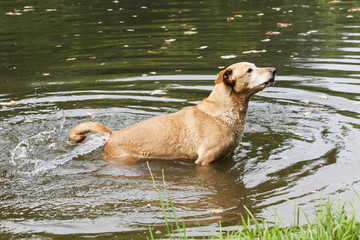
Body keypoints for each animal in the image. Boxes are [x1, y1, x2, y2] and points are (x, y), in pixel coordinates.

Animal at [69, 62, 276, 165]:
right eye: (250, 70)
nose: (274, 70)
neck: (222, 112)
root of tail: (113, 134)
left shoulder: (227, 156)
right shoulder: (204, 161)